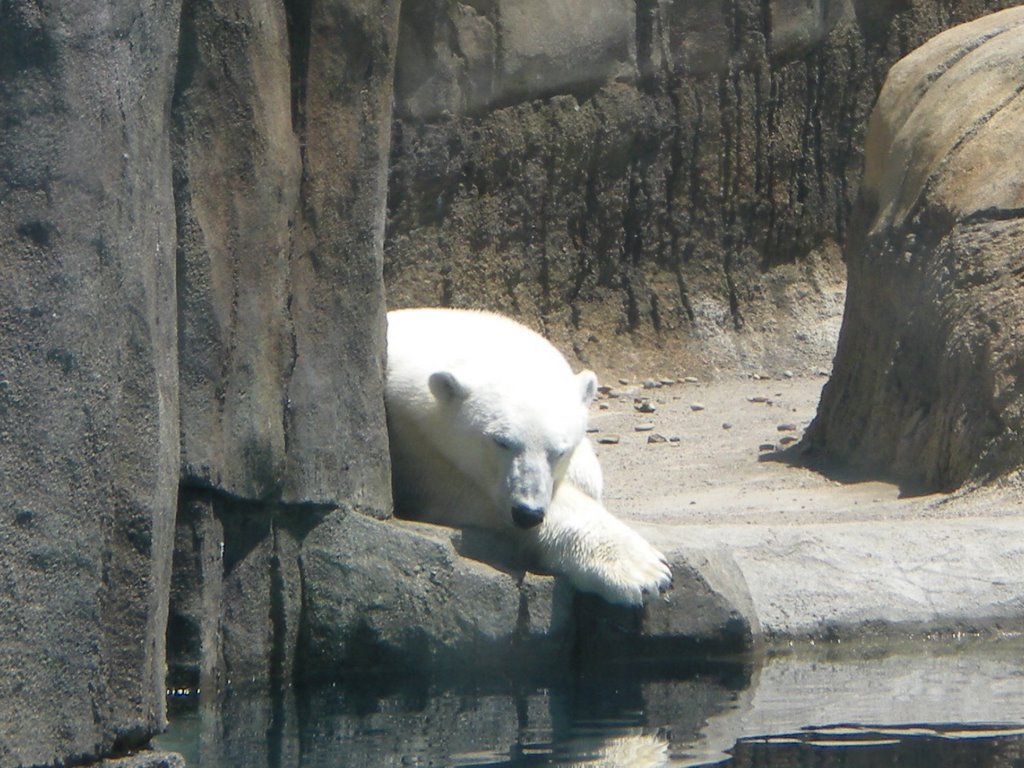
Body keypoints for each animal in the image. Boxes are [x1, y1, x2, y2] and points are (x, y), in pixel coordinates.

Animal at [385, 307, 671, 606]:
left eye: (559, 451)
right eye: (500, 441)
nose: (527, 513)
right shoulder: (413, 446)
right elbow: (466, 494)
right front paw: (644, 572)